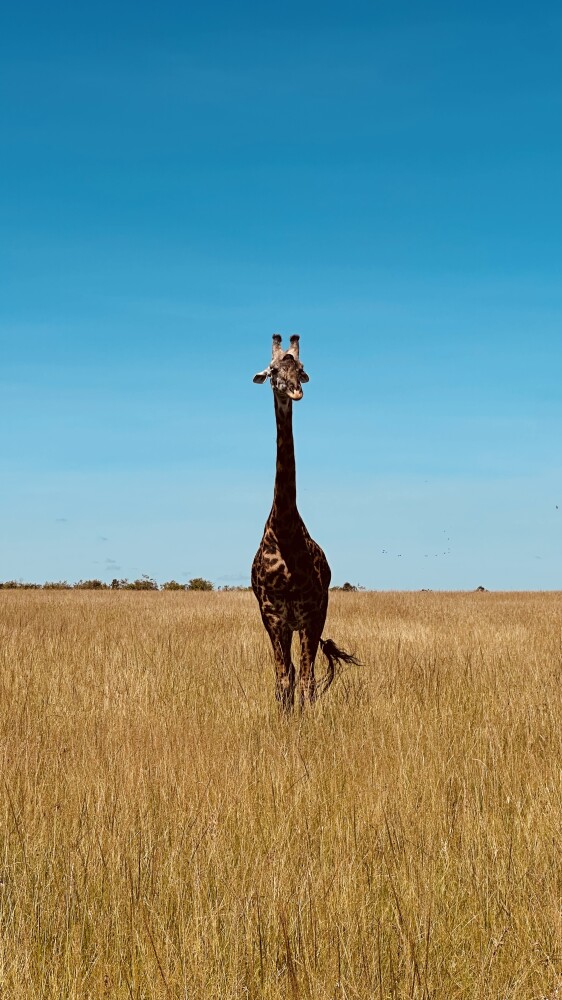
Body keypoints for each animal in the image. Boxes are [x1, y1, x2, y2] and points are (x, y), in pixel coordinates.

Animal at [252, 333, 359, 711]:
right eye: (272, 371)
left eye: (300, 368)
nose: (294, 391)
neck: (283, 530)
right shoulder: (272, 616)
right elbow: (284, 678)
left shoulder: (311, 613)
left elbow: (307, 680)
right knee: (291, 674)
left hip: (312, 619)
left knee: (306, 674)